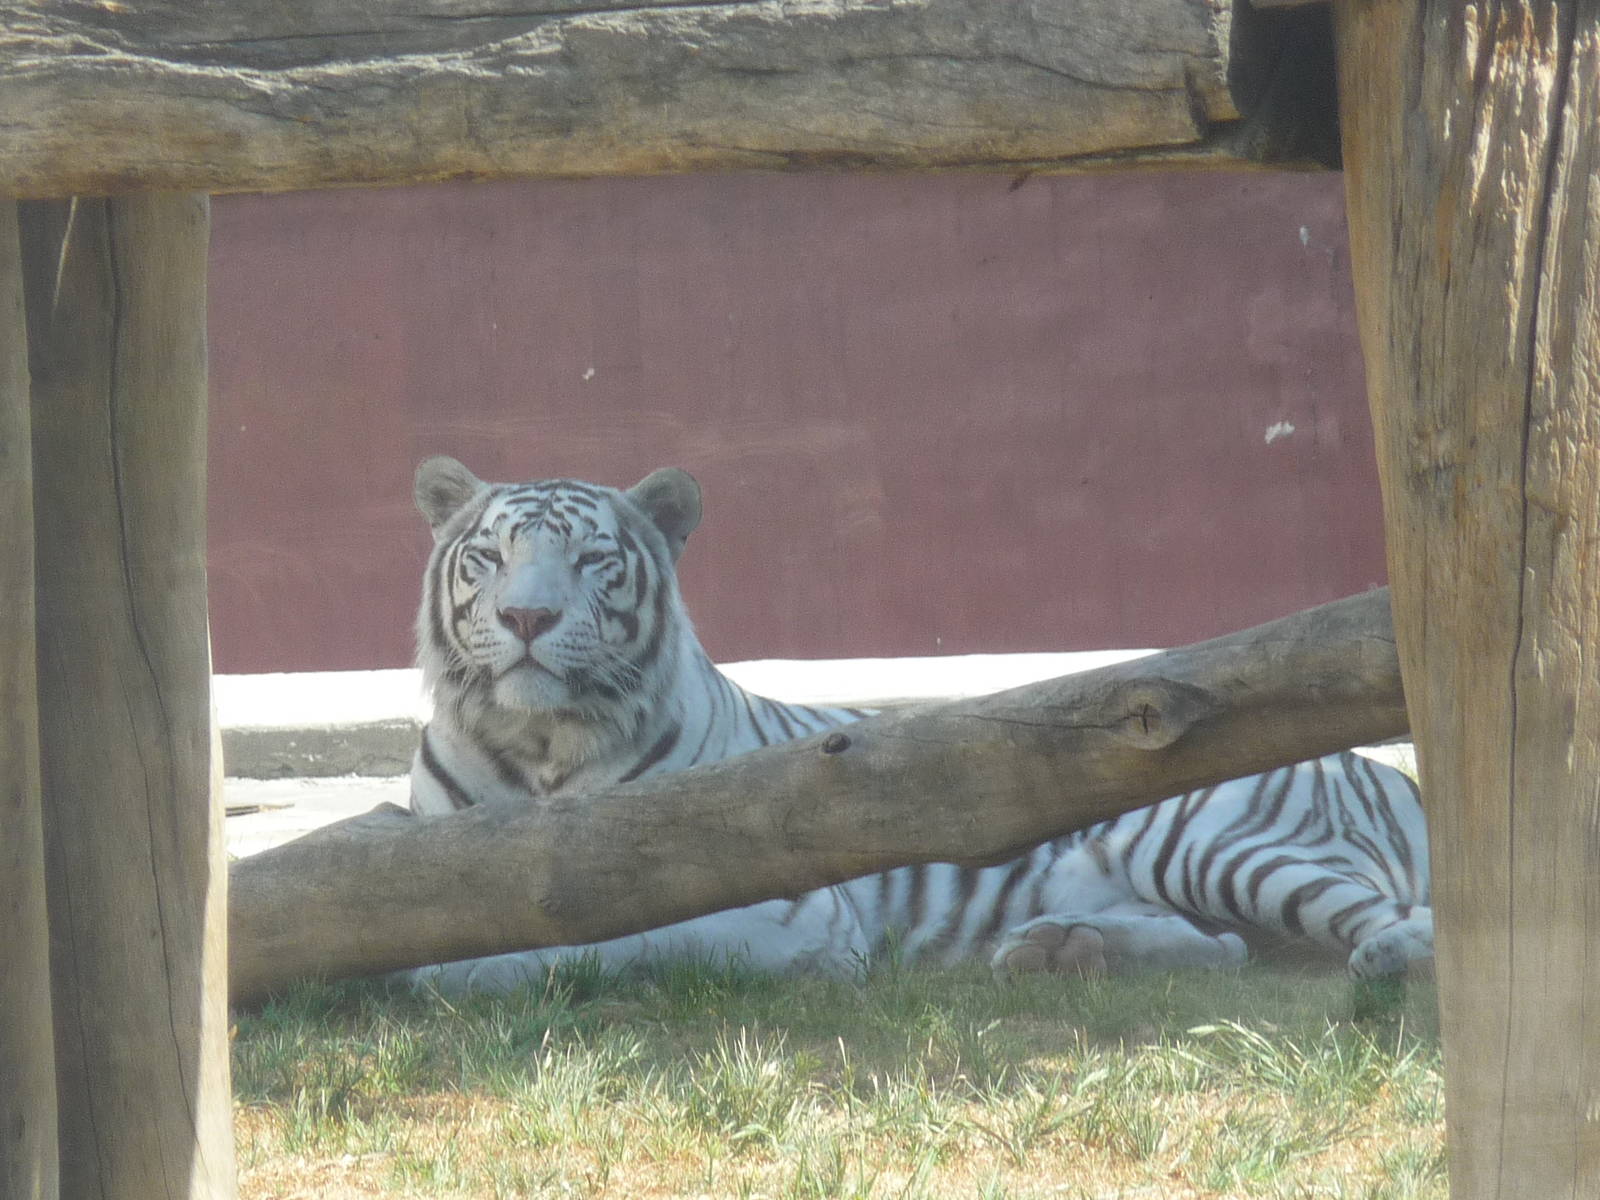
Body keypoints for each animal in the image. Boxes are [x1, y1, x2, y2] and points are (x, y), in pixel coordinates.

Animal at [407, 455, 1435, 994]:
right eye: (490, 558)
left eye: (591, 561)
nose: (528, 618)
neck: (537, 746)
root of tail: (1388, 771)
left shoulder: (782, 909)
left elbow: (607, 937)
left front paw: (471, 968)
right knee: (1224, 948)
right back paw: (1060, 949)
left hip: (1215, 842)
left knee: (1395, 920)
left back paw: (1387, 961)